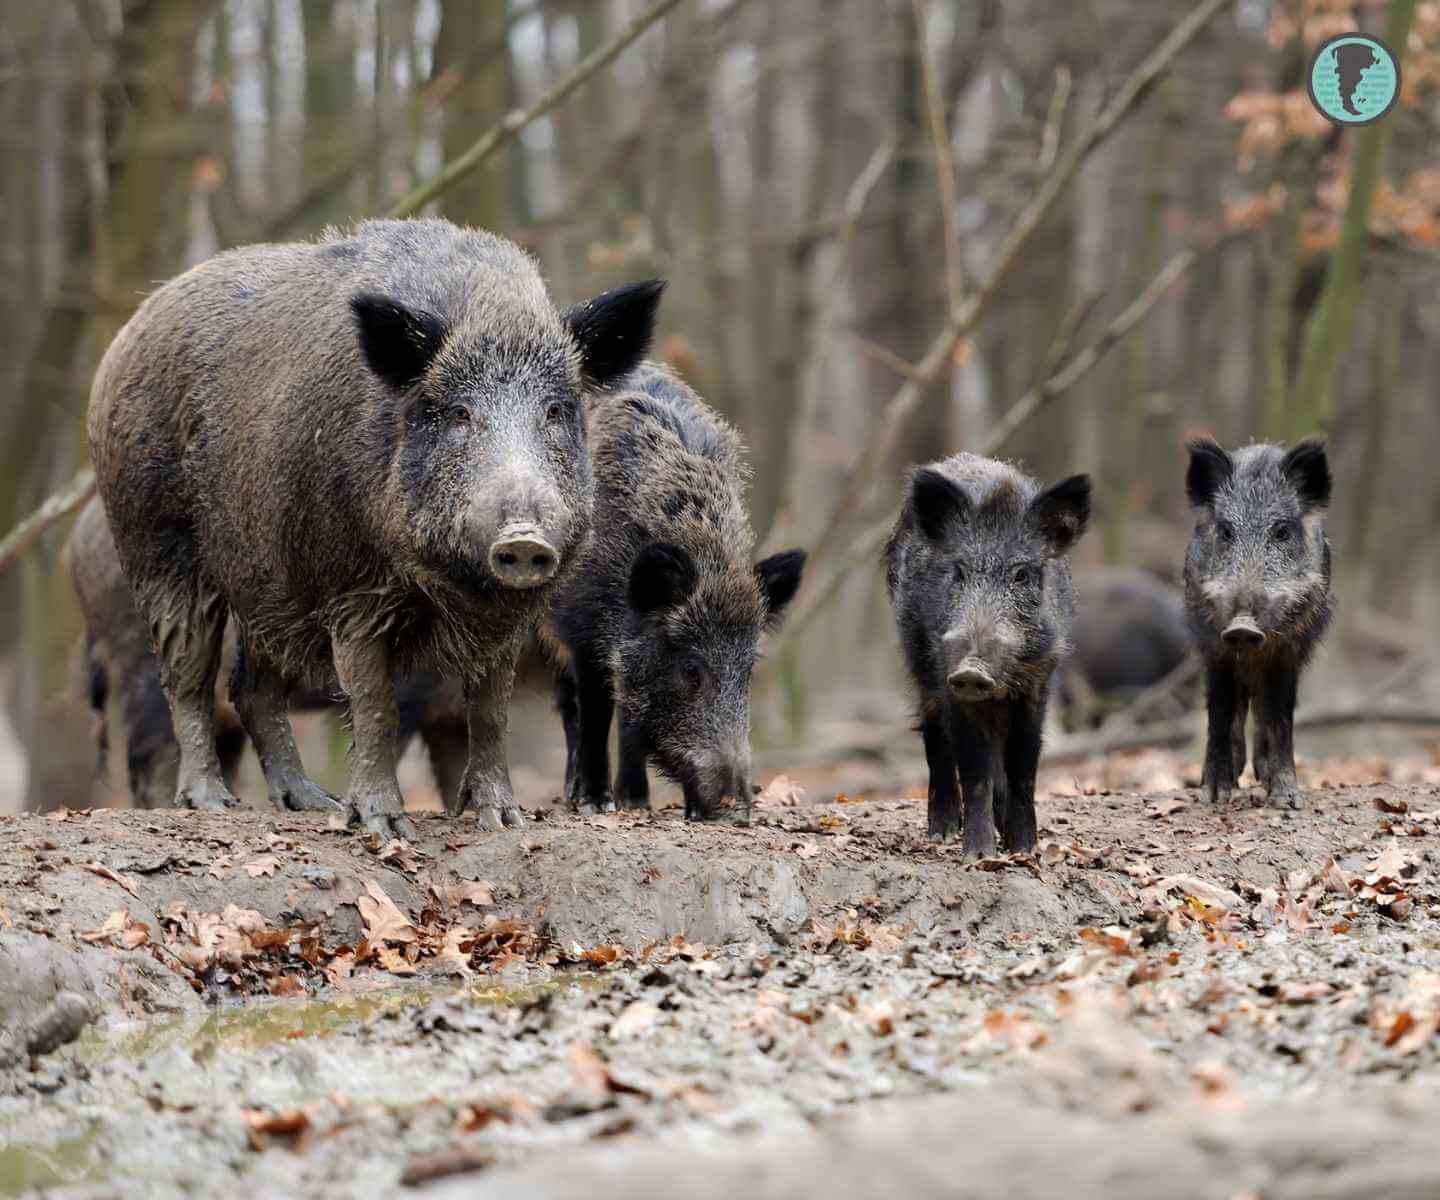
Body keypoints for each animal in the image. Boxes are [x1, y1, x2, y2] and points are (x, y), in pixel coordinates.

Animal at [87, 218, 663, 838]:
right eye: (458, 412)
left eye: (556, 411)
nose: (523, 537)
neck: (451, 584)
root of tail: (128, 332)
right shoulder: (351, 590)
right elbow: (373, 703)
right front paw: (384, 826)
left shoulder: (509, 615)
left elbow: (490, 707)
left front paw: (502, 820)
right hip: (156, 544)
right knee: (187, 674)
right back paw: (213, 802)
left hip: (267, 581)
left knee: (253, 688)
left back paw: (309, 802)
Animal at [545, 363, 806, 822]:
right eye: (690, 670)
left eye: (748, 671)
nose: (735, 803)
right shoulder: (581, 630)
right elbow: (596, 710)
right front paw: (599, 804)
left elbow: (629, 716)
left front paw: (644, 804)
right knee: (571, 705)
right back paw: (578, 796)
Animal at [885, 453, 1091, 856]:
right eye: (959, 572)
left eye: (1022, 575)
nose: (972, 669)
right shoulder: (949, 680)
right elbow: (975, 769)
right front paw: (979, 856)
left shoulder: (1038, 681)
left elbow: (1024, 766)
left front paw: (1023, 850)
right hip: (919, 661)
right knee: (935, 736)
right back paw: (942, 832)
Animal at [1183, 438, 1333, 809]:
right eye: (1226, 531)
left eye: (1281, 531)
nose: (1242, 627)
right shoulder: (1214, 645)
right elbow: (1220, 711)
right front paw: (1213, 796)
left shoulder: (1289, 649)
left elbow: (1279, 714)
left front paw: (1287, 799)